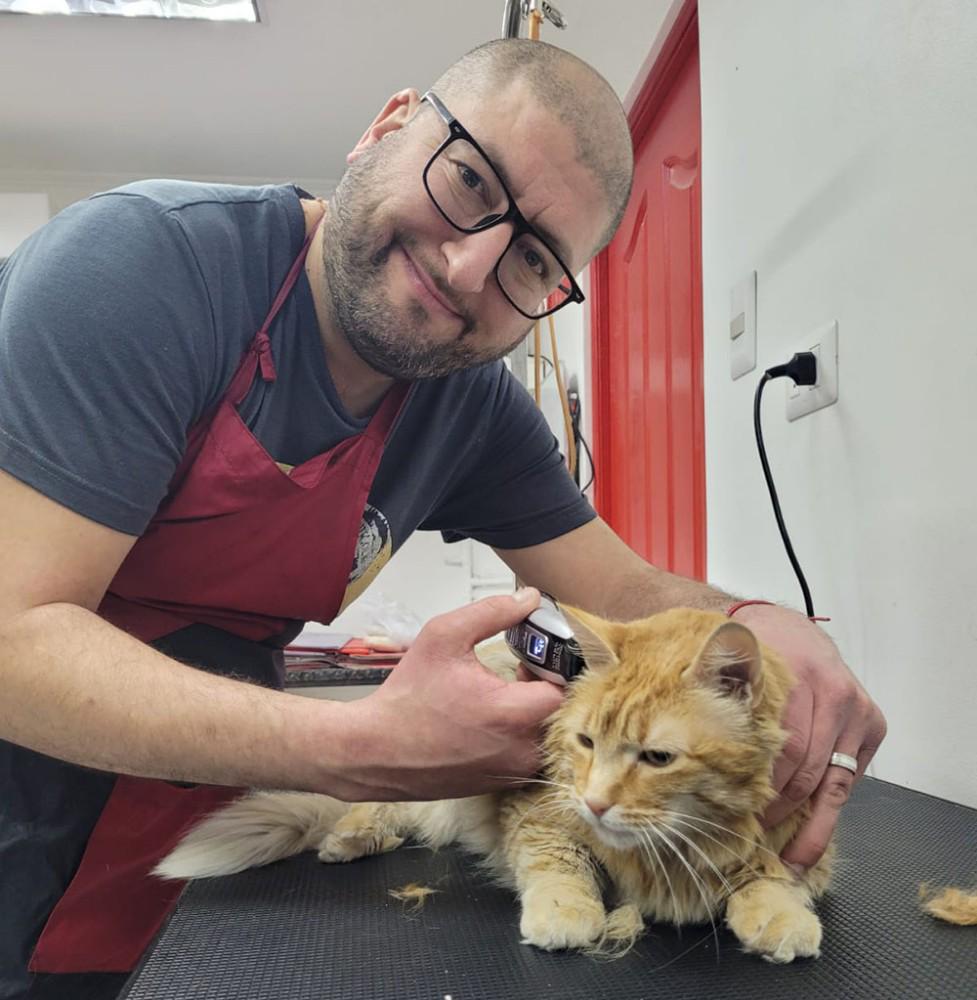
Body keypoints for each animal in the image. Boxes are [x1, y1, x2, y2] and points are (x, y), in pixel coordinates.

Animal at [157, 607, 835, 963]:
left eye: (657, 757)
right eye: (585, 743)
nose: (595, 801)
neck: (672, 849)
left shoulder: (793, 844)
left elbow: (769, 876)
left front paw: (779, 915)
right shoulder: (539, 813)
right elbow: (561, 865)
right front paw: (566, 913)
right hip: (420, 783)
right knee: (375, 807)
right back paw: (348, 838)